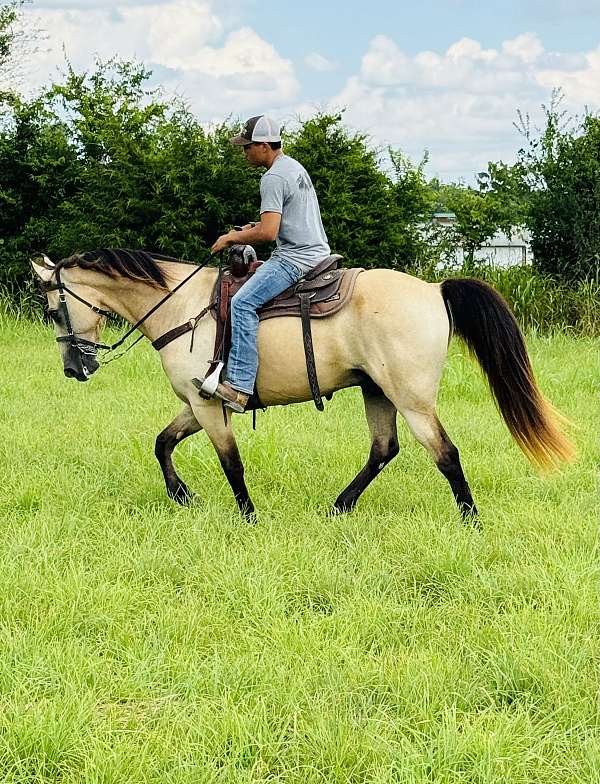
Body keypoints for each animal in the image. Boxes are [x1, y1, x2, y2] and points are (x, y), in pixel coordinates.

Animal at [30, 248, 576, 524]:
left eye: (53, 308)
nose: (73, 369)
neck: (181, 308)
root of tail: (433, 289)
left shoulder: (210, 406)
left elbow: (230, 462)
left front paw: (248, 517)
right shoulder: (197, 400)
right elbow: (162, 442)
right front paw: (183, 495)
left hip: (411, 398)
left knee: (445, 453)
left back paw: (470, 520)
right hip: (377, 392)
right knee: (384, 449)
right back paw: (339, 507)